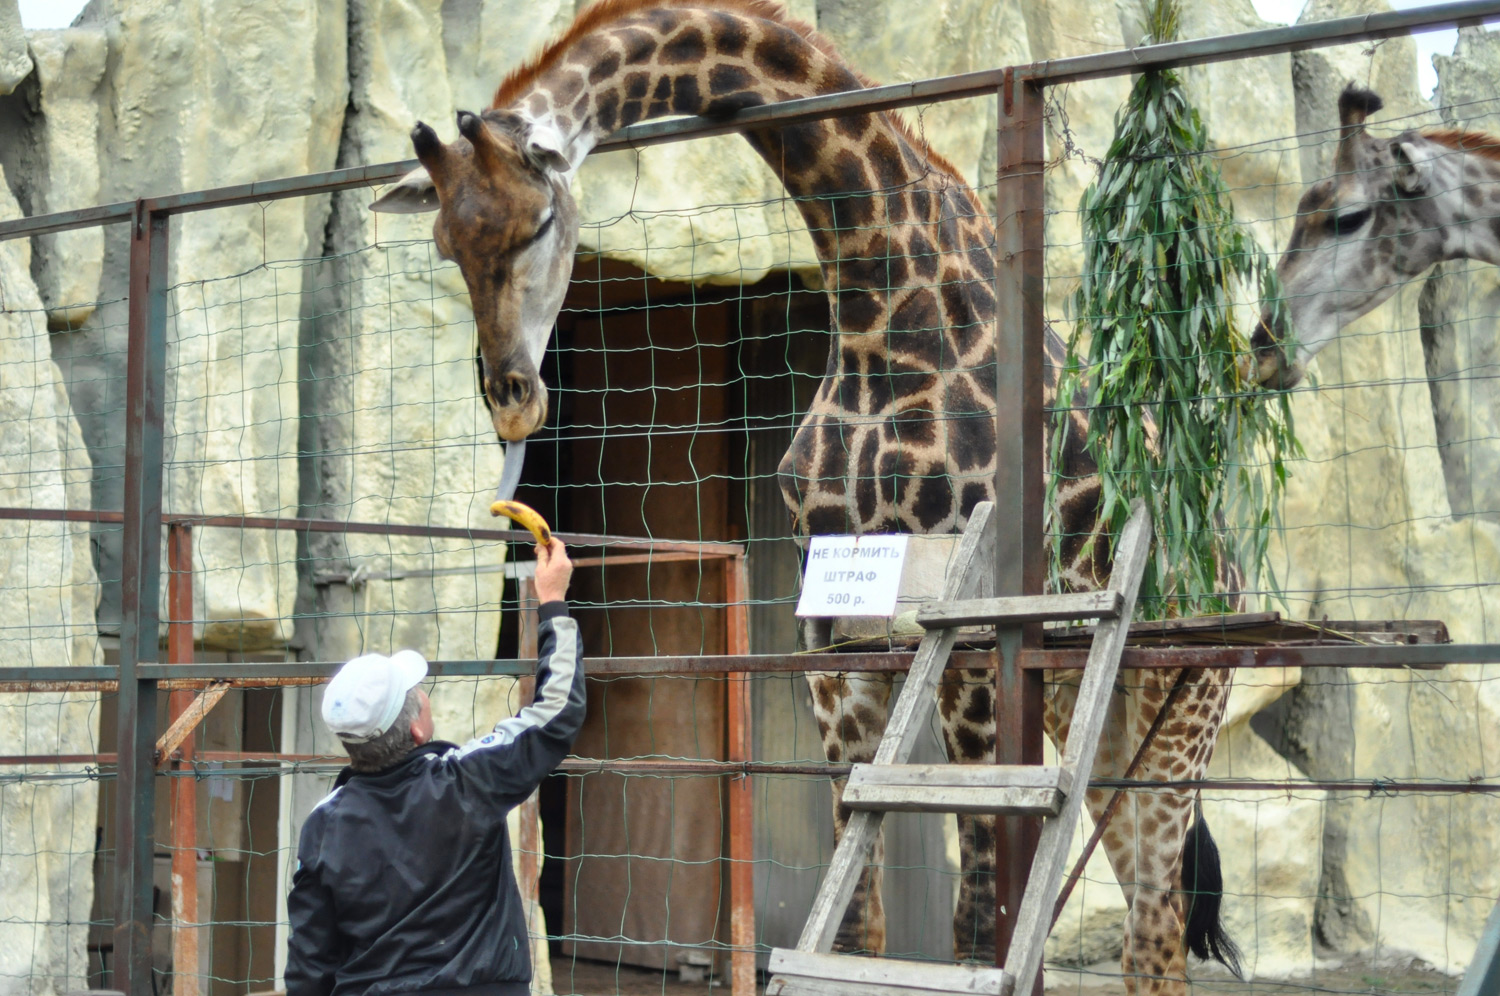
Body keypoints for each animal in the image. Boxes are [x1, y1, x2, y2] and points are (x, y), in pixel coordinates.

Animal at [375, 3, 1242, 990]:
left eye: (539, 222)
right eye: (448, 245)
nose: (514, 397)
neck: (878, 310)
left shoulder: (972, 637)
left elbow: (975, 921)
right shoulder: (832, 639)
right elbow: (856, 921)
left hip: (1184, 700)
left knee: (1155, 925)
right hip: (1093, 707)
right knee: (1146, 911)